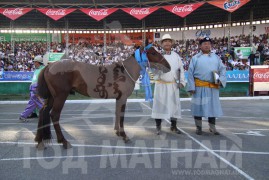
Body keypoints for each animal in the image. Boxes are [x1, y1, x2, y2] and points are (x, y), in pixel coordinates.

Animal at [35, 43, 170, 149]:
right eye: (153, 52)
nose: (168, 66)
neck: (124, 72)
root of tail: (50, 66)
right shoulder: (123, 98)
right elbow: (121, 116)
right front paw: (124, 135)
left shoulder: (118, 98)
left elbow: (117, 114)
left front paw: (118, 132)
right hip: (60, 96)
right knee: (54, 115)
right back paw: (63, 141)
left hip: (51, 97)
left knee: (42, 111)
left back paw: (39, 140)